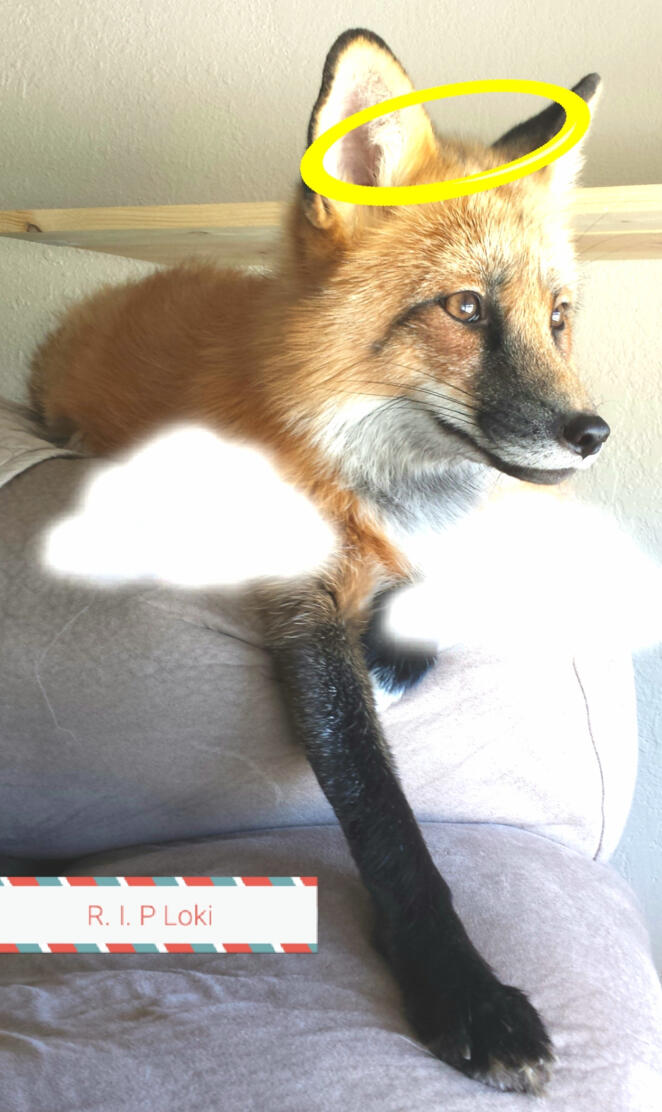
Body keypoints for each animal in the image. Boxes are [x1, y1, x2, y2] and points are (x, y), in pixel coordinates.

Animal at [28, 28, 608, 1095]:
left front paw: (404, 645)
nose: (595, 435)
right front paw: (463, 991)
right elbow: (382, 816)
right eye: (467, 308)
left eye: (557, 318)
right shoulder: (298, 600)